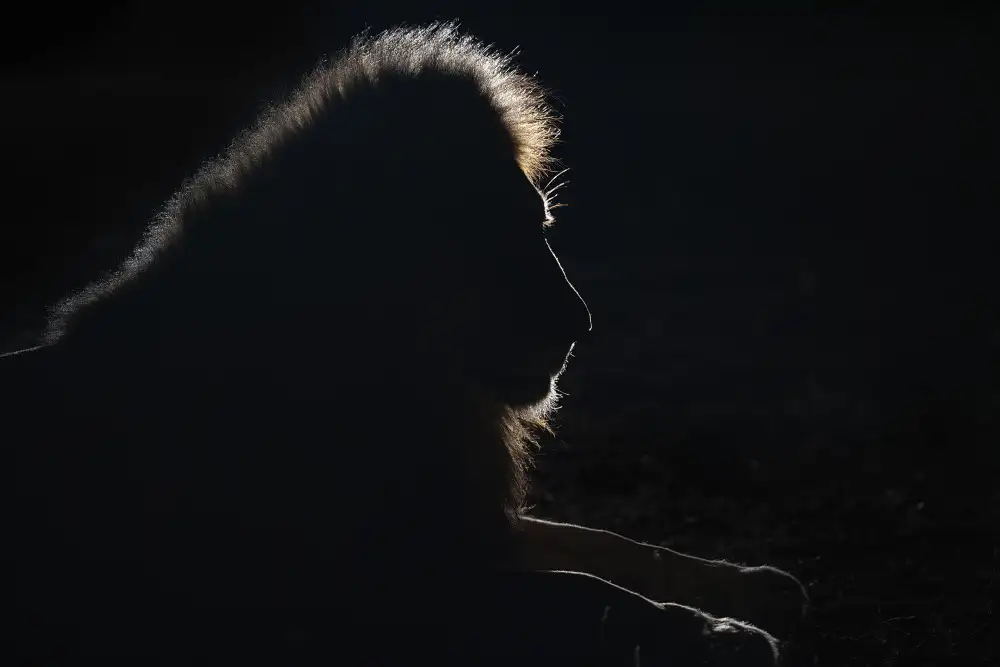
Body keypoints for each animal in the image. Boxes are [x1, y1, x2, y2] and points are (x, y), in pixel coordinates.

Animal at [7, 23, 799, 663]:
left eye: (542, 225)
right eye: (505, 239)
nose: (583, 326)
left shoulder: (466, 524)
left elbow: (613, 546)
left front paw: (756, 588)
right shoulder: (388, 594)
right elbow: (587, 589)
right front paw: (722, 635)